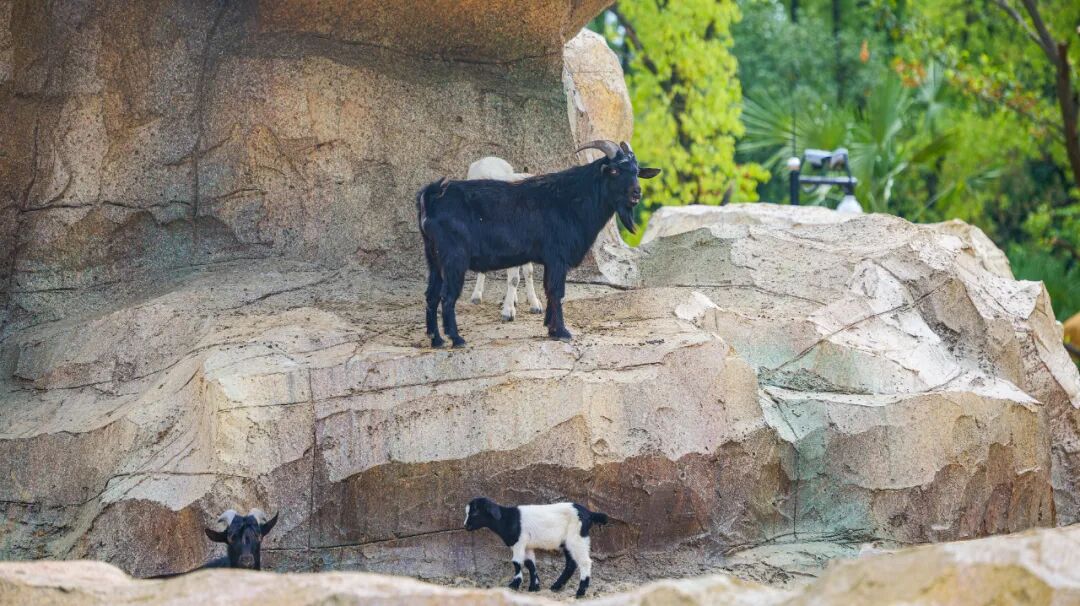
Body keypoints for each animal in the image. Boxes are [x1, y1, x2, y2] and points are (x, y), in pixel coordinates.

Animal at [465, 497, 609, 598]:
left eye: (475, 512)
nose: (466, 526)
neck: (507, 519)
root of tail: (589, 513)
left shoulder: (519, 543)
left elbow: (516, 563)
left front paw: (514, 585)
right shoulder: (527, 546)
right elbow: (530, 564)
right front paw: (534, 587)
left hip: (577, 537)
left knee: (585, 562)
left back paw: (580, 593)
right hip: (567, 542)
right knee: (571, 563)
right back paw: (556, 586)